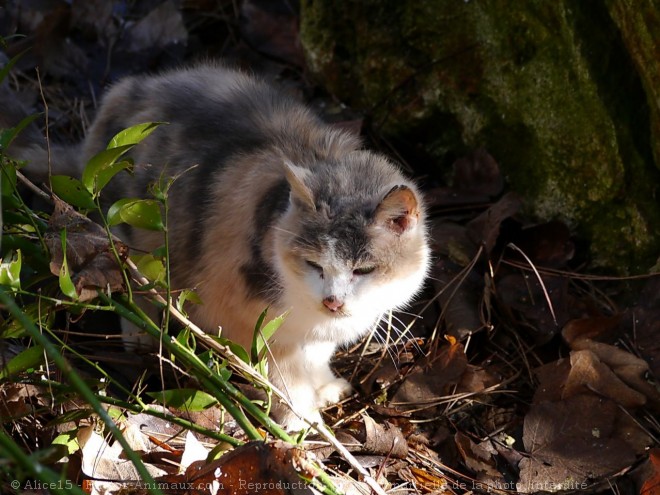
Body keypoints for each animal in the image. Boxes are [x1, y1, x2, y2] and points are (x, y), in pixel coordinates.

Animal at [6, 63, 434, 430]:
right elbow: (286, 379)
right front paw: (302, 424)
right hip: (124, 238)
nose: (332, 301)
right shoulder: (258, 325)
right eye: (314, 264)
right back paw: (142, 334)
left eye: (363, 270)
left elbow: (314, 358)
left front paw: (325, 386)